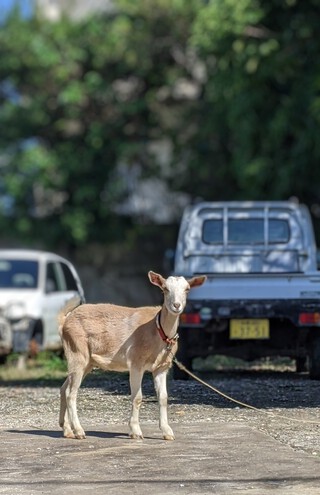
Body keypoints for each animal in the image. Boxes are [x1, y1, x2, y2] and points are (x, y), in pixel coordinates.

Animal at [58, 272, 206, 442]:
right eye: (165, 289)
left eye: (187, 289)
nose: (176, 305)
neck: (157, 330)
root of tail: (65, 320)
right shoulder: (136, 362)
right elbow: (137, 397)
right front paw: (135, 431)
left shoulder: (161, 367)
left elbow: (163, 397)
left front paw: (167, 432)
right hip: (77, 351)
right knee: (71, 393)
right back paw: (79, 431)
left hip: (87, 361)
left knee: (64, 389)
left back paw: (67, 430)